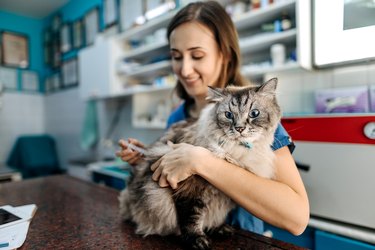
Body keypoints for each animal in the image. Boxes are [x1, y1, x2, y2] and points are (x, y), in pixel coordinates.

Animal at [120, 77, 282, 248]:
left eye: (254, 113)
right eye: (228, 115)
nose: (239, 128)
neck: (236, 151)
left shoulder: (221, 196)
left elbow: (214, 215)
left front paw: (216, 228)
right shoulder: (189, 189)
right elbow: (191, 218)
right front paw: (197, 239)